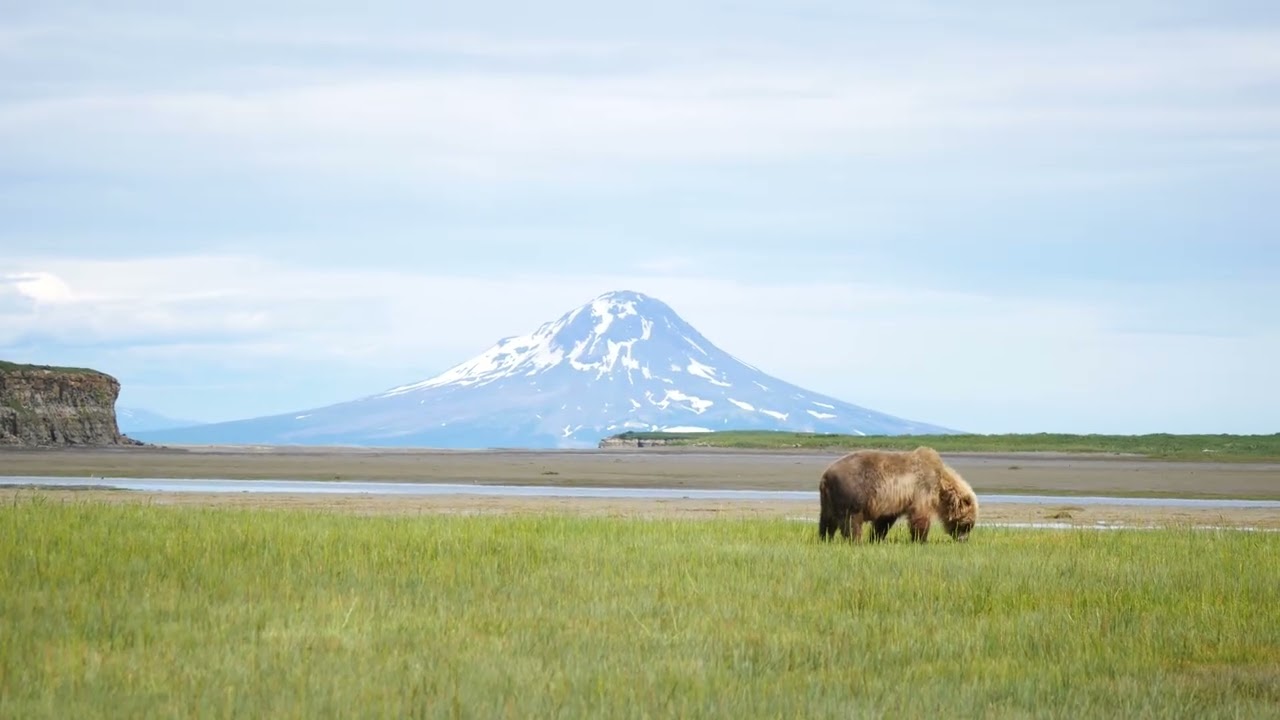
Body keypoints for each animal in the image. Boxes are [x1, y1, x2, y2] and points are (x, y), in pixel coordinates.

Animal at [818, 446, 978, 543]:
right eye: (967, 525)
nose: (964, 540)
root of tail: (825, 475)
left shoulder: (892, 501)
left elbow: (884, 521)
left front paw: (876, 538)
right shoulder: (922, 488)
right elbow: (920, 516)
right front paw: (921, 539)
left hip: (829, 499)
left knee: (827, 520)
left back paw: (825, 538)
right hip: (852, 493)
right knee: (851, 520)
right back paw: (856, 540)